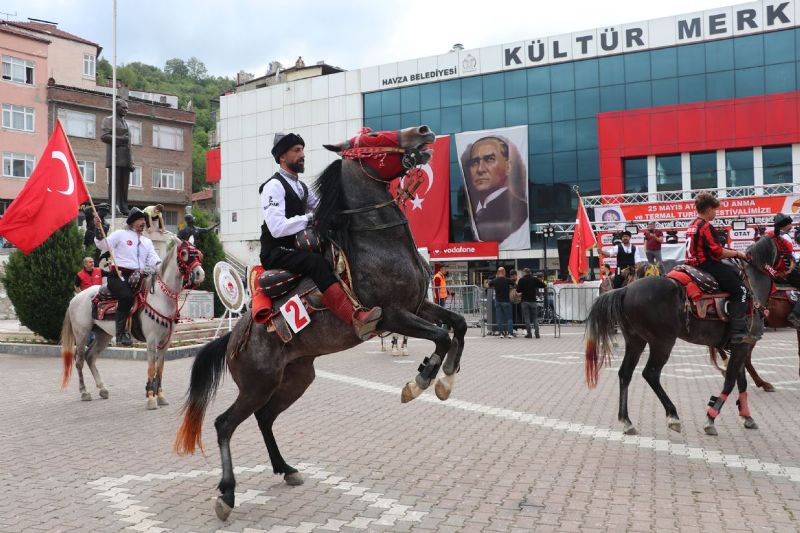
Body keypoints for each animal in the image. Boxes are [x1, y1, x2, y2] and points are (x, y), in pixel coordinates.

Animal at [63, 239, 206, 410]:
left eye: (198, 253)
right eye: (184, 253)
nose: (200, 274)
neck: (160, 297)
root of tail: (75, 298)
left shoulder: (166, 341)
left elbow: (160, 368)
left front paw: (160, 396)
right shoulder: (151, 340)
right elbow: (151, 367)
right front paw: (151, 399)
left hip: (103, 335)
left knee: (90, 357)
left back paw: (103, 389)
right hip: (82, 334)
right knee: (79, 361)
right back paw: (84, 392)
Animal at [172, 125, 466, 520]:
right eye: (373, 139)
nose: (423, 132)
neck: (380, 242)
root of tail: (234, 338)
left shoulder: (419, 305)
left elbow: (457, 325)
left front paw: (445, 381)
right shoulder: (394, 314)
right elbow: (441, 337)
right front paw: (418, 382)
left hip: (296, 378)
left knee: (265, 417)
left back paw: (285, 469)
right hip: (257, 384)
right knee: (224, 424)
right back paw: (227, 494)